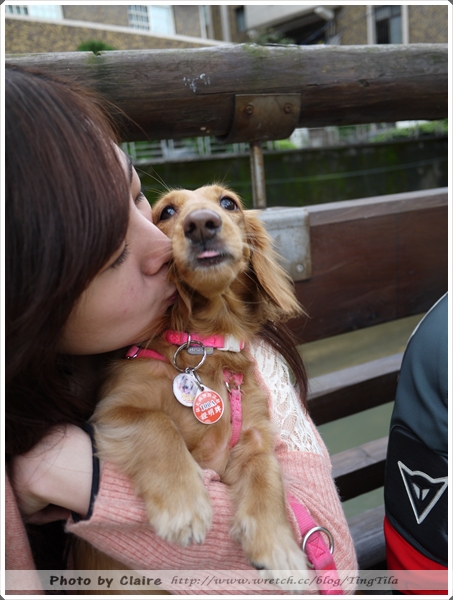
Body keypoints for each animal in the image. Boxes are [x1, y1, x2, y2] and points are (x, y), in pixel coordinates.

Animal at [78, 185, 310, 580]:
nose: (201, 224)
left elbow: (267, 475)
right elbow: (158, 423)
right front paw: (183, 504)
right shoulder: (113, 409)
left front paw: (279, 547)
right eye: (167, 211)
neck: (205, 345)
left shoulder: (254, 436)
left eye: (229, 203)